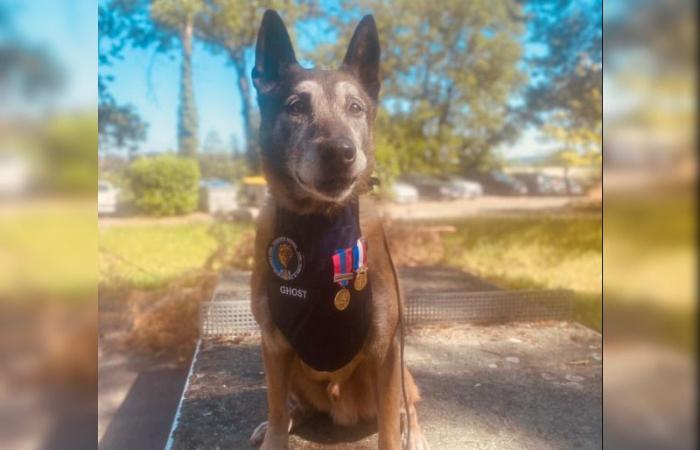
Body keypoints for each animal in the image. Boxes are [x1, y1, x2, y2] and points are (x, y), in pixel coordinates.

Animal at [249, 10, 430, 450]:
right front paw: (274, 431)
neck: (320, 225)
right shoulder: (273, 346)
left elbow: (389, 430)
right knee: (289, 407)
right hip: (295, 371)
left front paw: (401, 435)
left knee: (408, 406)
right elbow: (276, 413)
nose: (340, 152)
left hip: (400, 371)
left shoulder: (385, 350)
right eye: (296, 106)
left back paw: (415, 434)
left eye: (355, 107)